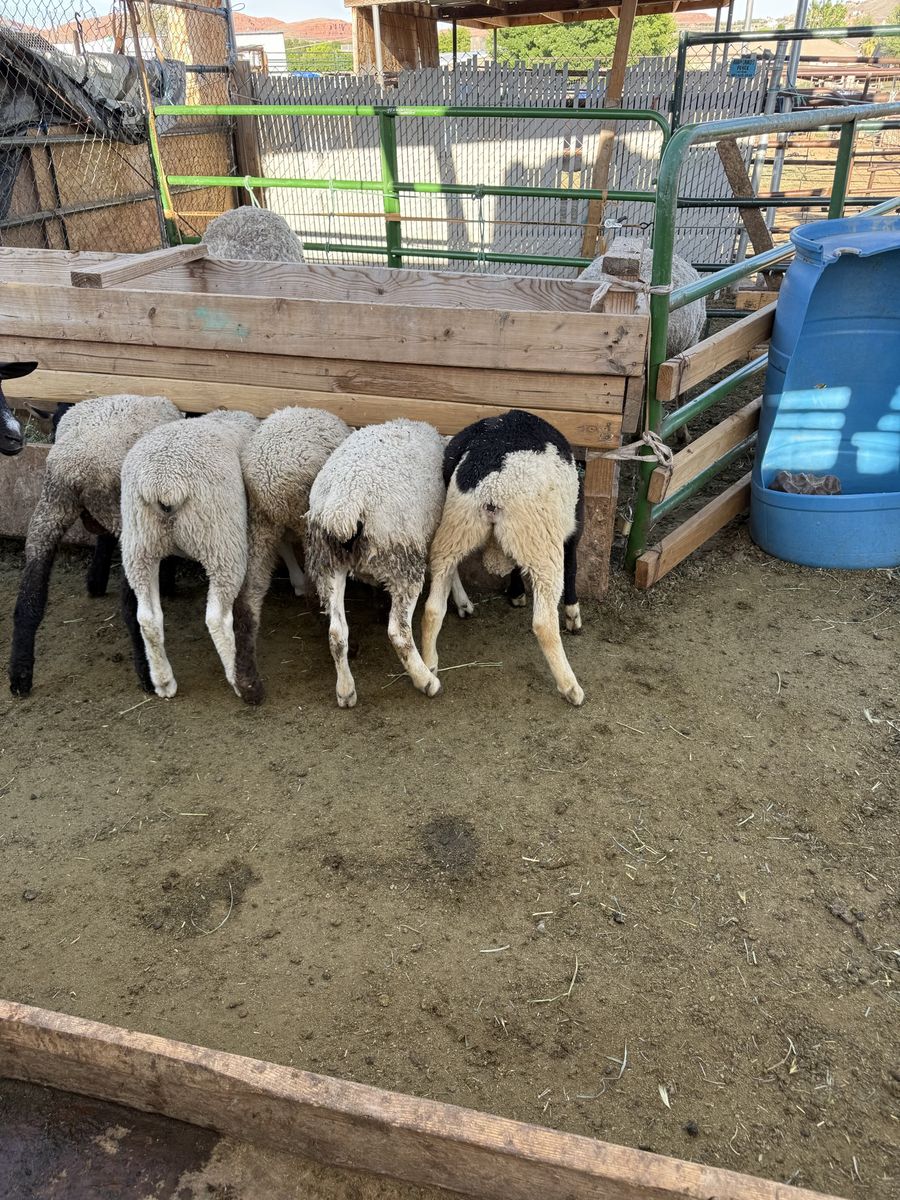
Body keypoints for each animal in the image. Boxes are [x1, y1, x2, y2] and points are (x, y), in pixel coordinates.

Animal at [9, 393, 183, 698]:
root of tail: (78, 470)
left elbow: (102, 540)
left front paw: (95, 582)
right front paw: (169, 584)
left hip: (50, 511)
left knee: (29, 598)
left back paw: (19, 676)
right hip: (125, 520)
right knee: (133, 608)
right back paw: (148, 674)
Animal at [119, 410, 259, 699]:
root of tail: (163, 483)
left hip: (139, 546)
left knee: (147, 618)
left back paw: (163, 681)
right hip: (221, 542)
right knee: (216, 618)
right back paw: (240, 683)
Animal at [231, 405, 352, 704]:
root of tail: (267, 481)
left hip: (260, 523)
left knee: (247, 602)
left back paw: (249, 684)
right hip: (304, 519)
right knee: (317, 589)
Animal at [305, 418, 473, 708]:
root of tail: (344, 506)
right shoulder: (437, 531)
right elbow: (450, 569)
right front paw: (462, 600)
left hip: (327, 562)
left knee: (336, 633)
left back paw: (345, 691)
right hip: (401, 556)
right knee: (398, 632)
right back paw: (425, 680)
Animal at [421, 410, 584, 707]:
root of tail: (491, 487)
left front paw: (516, 594)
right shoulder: (573, 528)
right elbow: (572, 568)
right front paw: (572, 615)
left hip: (455, 528)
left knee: (433, 607)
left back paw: (429, 668)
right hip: (539, 542)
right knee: (543, 623)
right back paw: (570, 687)